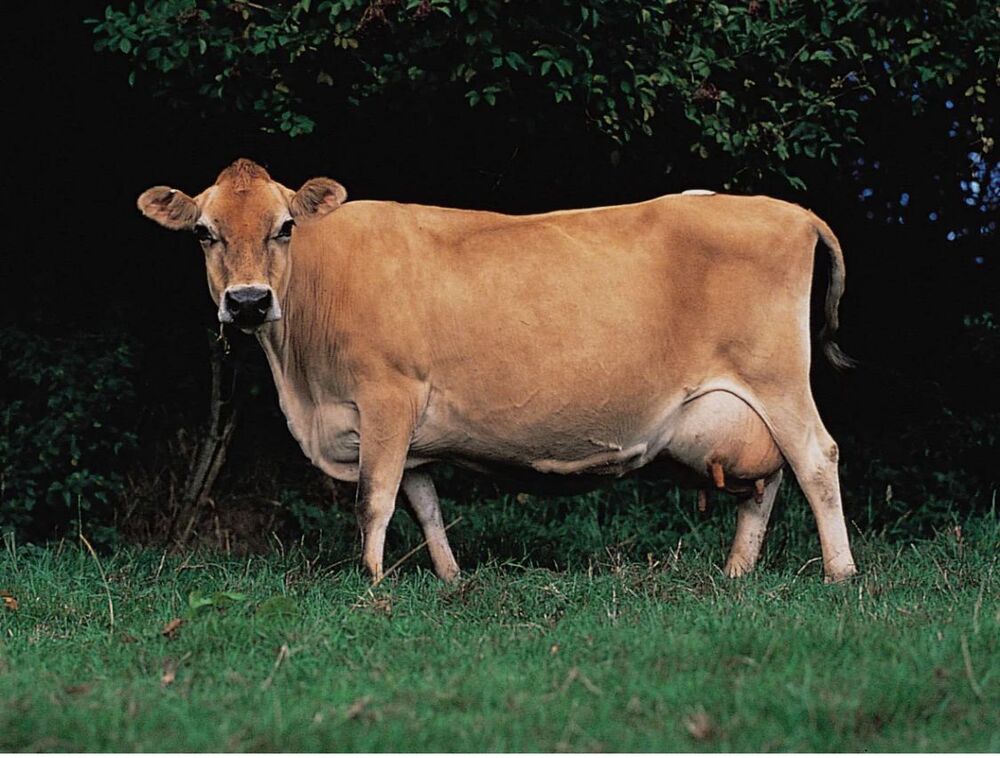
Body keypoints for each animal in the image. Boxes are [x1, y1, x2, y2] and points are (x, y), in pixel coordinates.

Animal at [137, 158, 858, 583]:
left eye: (286, 226)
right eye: (203, 232)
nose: (248, 302)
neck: (305, 384)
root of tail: (786, 209)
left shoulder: (387, 395)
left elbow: (374, 497)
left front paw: (370, 582)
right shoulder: (410, 427)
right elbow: (424, 502)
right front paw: (450, 579)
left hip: (778, 379)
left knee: (815, 458)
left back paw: (840, 572)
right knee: (766, 482)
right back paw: (737, 573)